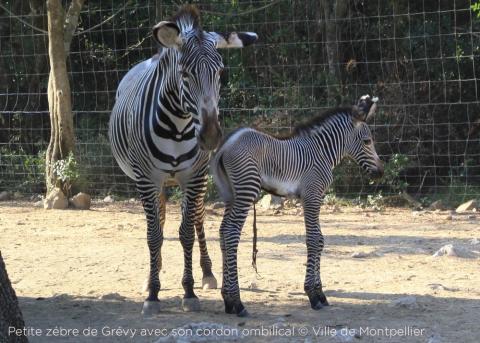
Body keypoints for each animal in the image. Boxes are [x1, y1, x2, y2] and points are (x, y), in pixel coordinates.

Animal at [109, 6, 258, 318]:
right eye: (185, 74)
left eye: (221, 72)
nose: (211, 136)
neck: (177, 125)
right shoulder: (147, 178)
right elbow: (154, 235)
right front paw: (153, 293)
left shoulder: (195, 175)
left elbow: (187, 232)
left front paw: (189, 291)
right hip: (155, 181)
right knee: (160, 219)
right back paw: (152, 274)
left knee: (198, 217)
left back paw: (208, 274)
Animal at [212, 94, 384, 318]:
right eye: (367, 141)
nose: (380, 173)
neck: (322, 152)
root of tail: (226, 144)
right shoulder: (312, 196)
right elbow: (313, 240)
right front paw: (313, 295)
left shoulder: (315, 197)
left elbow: (320, 240)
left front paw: (320, 293)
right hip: (246, 191)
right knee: (232, 234)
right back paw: (238, 302)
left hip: (230, 195)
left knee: (223, 233)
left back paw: (227, 300)